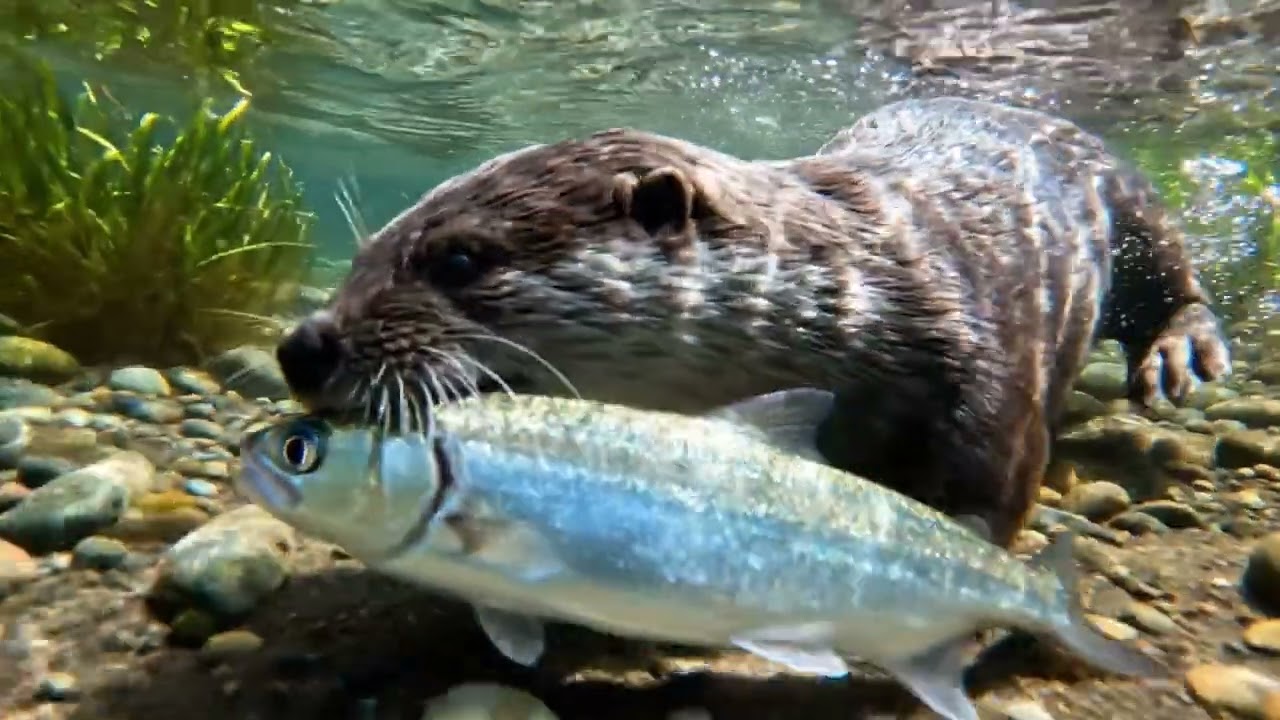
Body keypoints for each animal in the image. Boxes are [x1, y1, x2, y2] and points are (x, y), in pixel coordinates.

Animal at [274, 96, 1230, 548]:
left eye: (460, 261)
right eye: (360, 256)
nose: (302, 345)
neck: (867, 296)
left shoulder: (986, 375)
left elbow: (988, 500)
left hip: (1127, 200)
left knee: (1172, 275)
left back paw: (1180, 356)